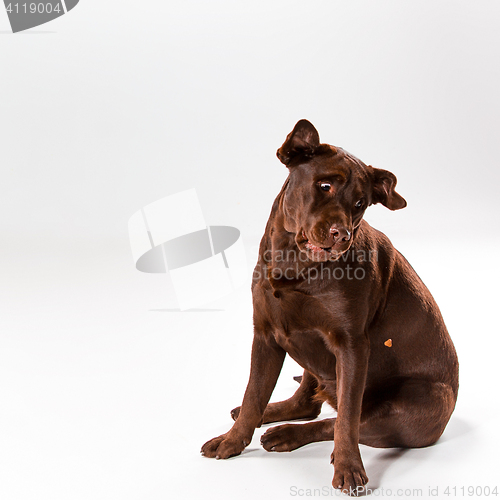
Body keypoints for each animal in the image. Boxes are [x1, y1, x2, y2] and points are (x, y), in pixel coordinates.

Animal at [201, 119, 458, 494]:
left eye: (361, 203)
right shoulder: (265, 336)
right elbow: (253, 395)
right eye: (324, 185)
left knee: (336, 421)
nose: (342, 235)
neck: (295, 262)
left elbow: (347, 420)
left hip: (421, 401)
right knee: (306, 400)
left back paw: (287, 435)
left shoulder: (351, 346)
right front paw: (232, 440)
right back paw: (273, 415)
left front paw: (348, 467)